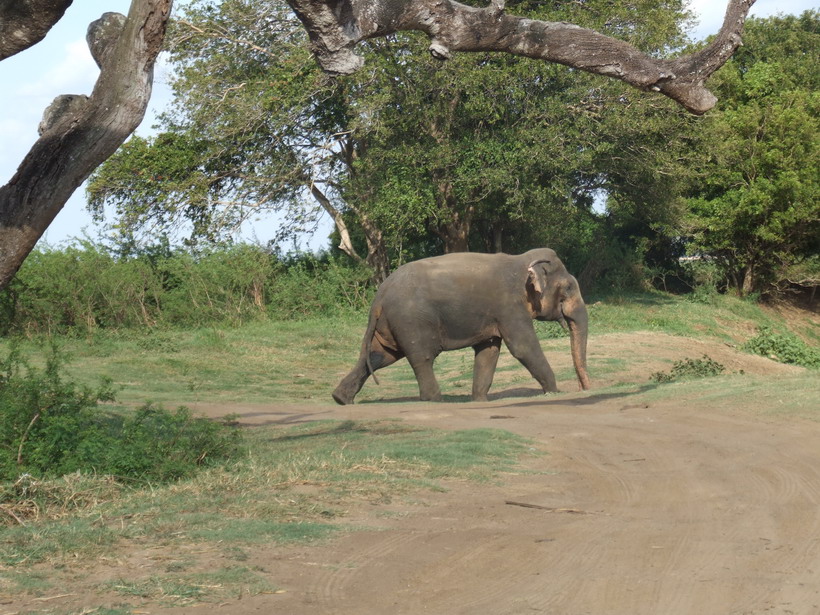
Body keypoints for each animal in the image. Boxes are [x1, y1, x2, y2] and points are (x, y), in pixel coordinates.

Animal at [334, 248, 588, 406]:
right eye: (567, 289)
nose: (583, 389)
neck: (521, 261)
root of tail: (379, 296)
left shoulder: (494, 314)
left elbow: (488, 351)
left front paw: (480, 400)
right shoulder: (509, 306)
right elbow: (523, 347)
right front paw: (554, 392)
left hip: (389, 324)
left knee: (379, 355)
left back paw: (341, 399)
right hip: (411, 321)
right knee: (422, 357)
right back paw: (435, 399)